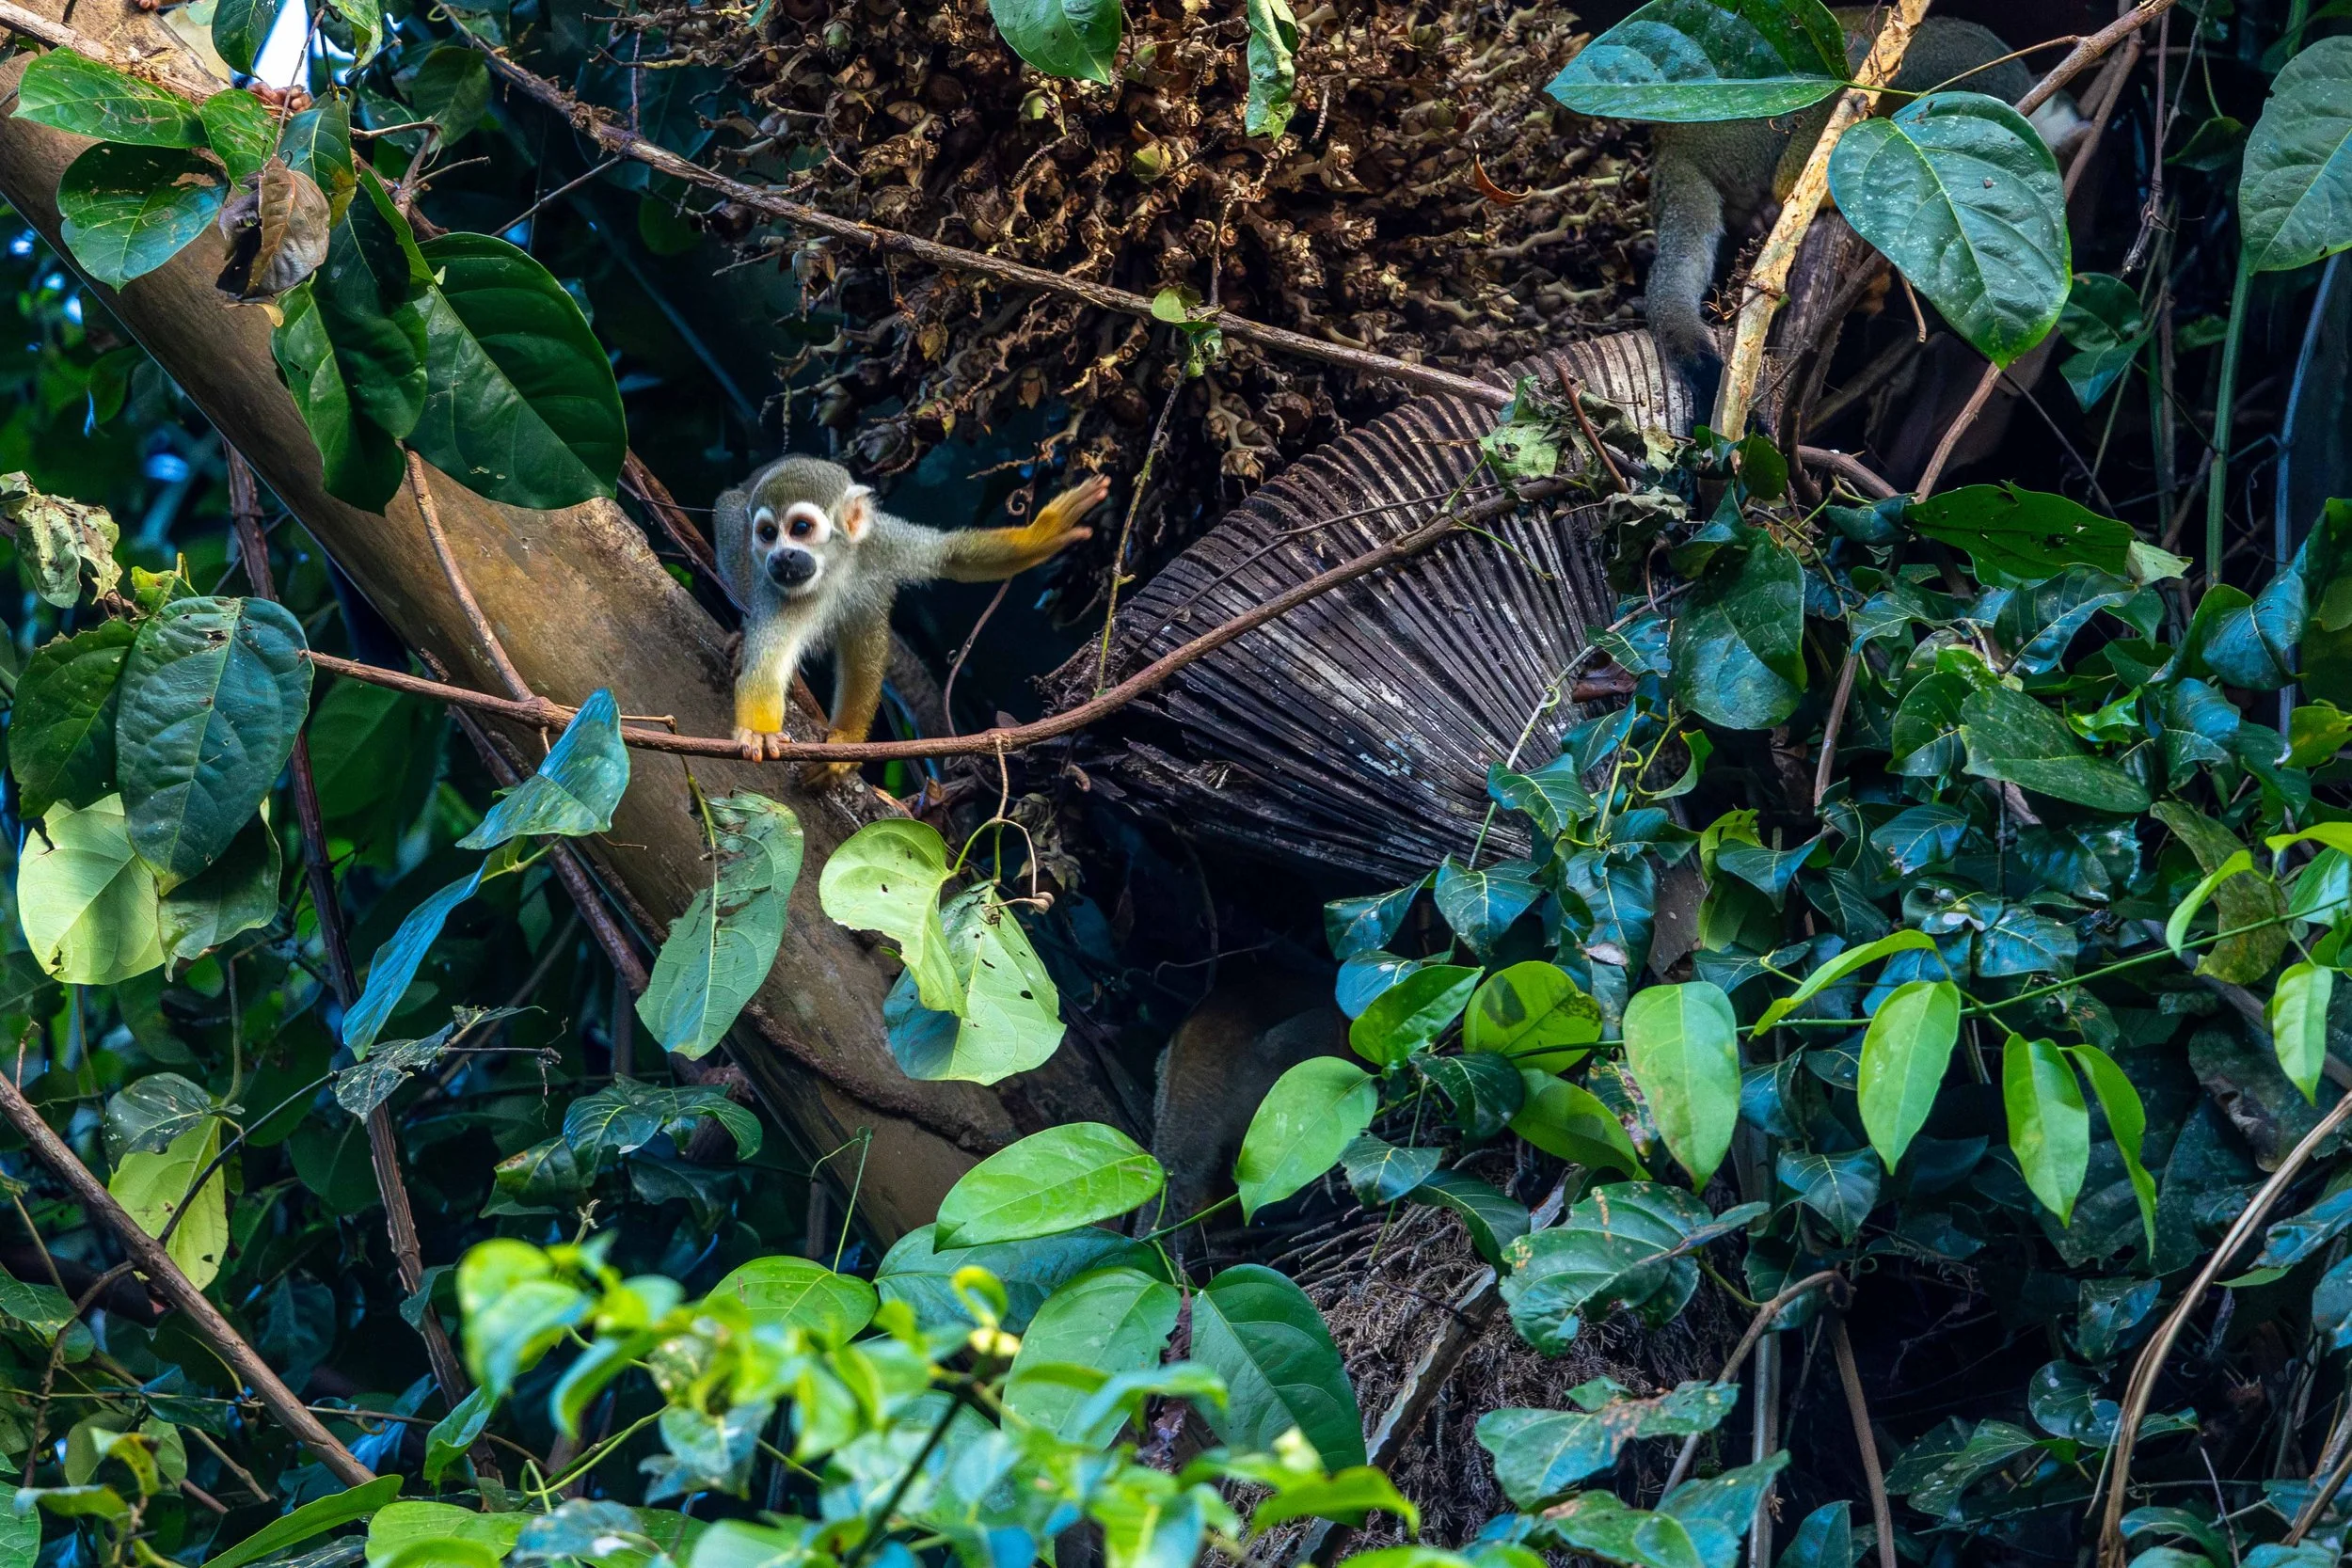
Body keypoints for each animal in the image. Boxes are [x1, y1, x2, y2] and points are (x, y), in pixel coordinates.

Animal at [716, 456, 1110, 782]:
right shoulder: (777, 590)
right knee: (730, 516)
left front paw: (1043, 532)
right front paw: (759, 732)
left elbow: (954, 557)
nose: (780, 557)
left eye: (800, 528)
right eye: (769, 534)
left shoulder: (881, 542)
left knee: (865, 622)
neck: (833, 568)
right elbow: (765, 671)